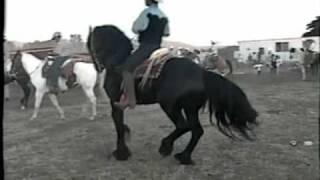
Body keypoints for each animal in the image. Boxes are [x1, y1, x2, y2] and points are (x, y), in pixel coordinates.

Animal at [86, 25, 258, 165]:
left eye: (89, 42)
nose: (97, 65)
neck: (118, 62)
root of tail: (201, 72)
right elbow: (121, 126)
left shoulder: (115, 103)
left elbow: (119, 126)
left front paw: (121, 153)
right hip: (190, 108)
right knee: (197, 130)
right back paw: (184, 157)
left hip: (170, 106)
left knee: (183, 126)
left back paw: (165, 147)